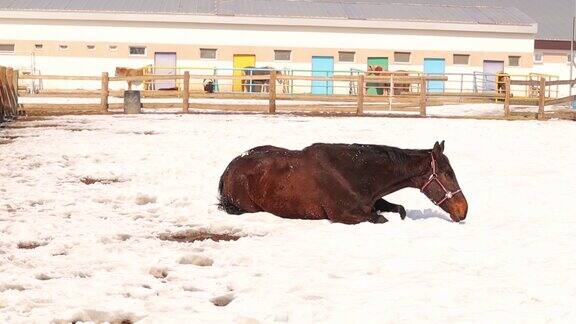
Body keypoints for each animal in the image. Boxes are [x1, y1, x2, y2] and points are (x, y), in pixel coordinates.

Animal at [219, 140, 468, 224]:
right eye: (448, 173)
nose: (463, 210)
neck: (350, 174)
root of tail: (230, 167)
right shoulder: (344, 215)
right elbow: (380, 218)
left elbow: (399, 209)